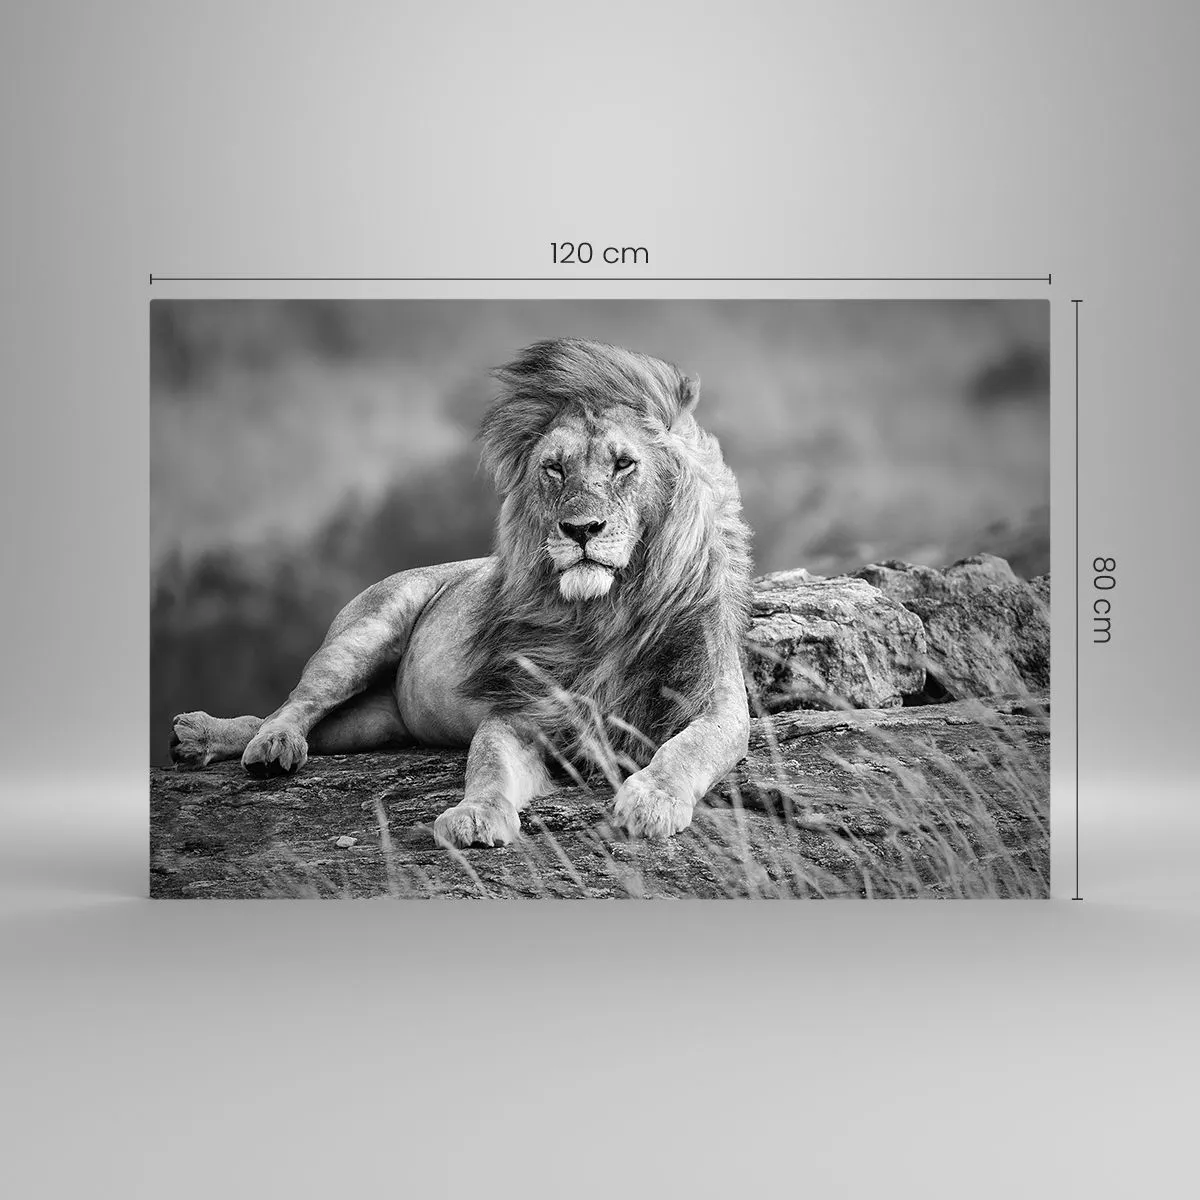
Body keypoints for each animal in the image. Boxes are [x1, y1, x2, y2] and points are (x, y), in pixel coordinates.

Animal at [170, 338, 753, 846]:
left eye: (624, 463)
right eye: (554, 468)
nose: (580, 530)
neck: (605, 611)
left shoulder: (718, 703)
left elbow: (687, 749)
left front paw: (652, 800)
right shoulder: (521, 710)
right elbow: (488, 765)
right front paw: (474, 816)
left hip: (374, 724)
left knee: (293, 720)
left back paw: (204, 738)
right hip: (364, 634)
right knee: (295, 704)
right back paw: (255, 743)